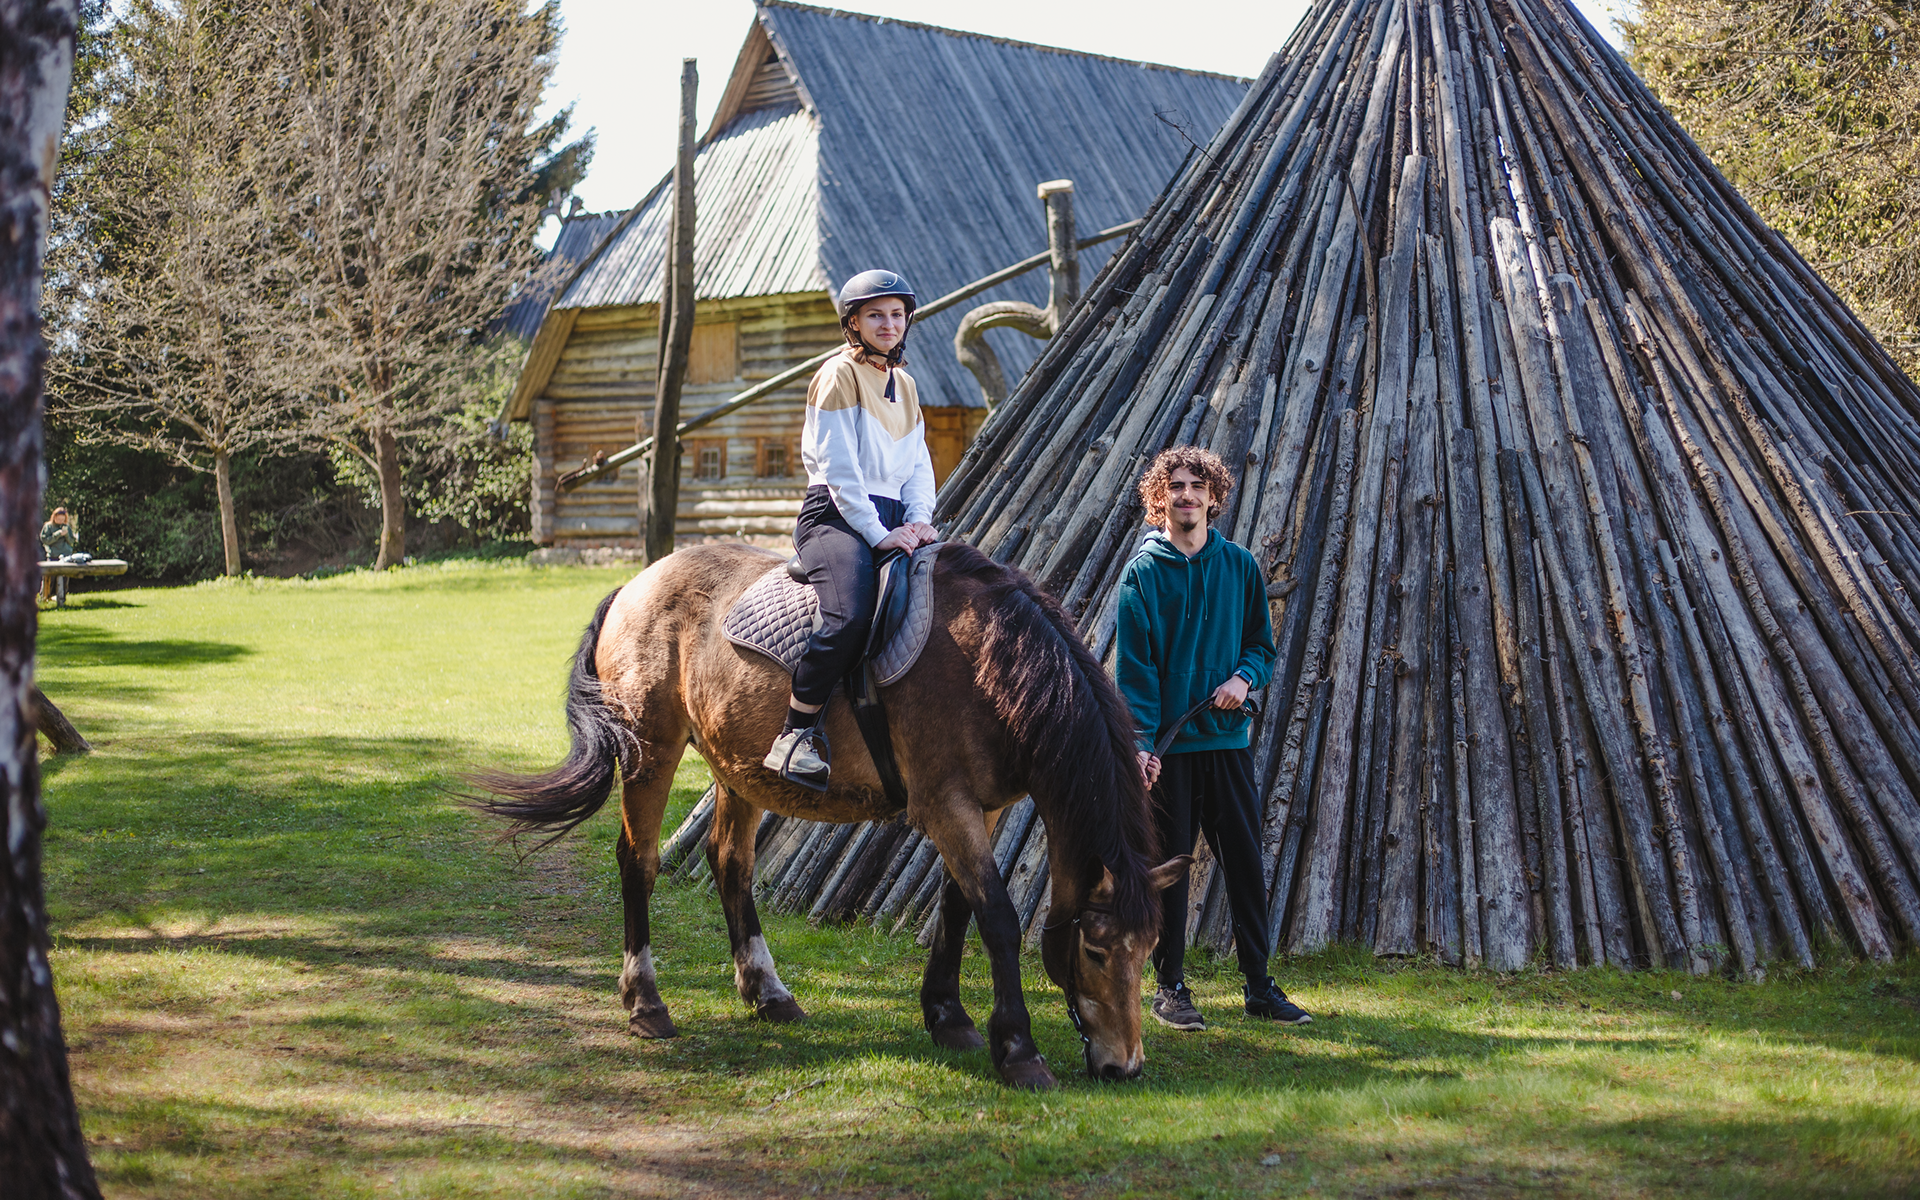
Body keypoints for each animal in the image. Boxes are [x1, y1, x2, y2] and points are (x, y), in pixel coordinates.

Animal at [470, 541, 1185, 1088]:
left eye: (1150, 948)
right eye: (1095, 950)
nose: (1124, 1066)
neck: (989, 664)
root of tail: (634, 584)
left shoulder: (980, 810)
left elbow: (959, 909)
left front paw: (948, 1016)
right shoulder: (946, 806)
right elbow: (1000, 922)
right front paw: (1018, 1050)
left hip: (737, 767)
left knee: (730, 863)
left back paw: (767, 991)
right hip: (651, 750)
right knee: (638, 862)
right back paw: (646, 1002)